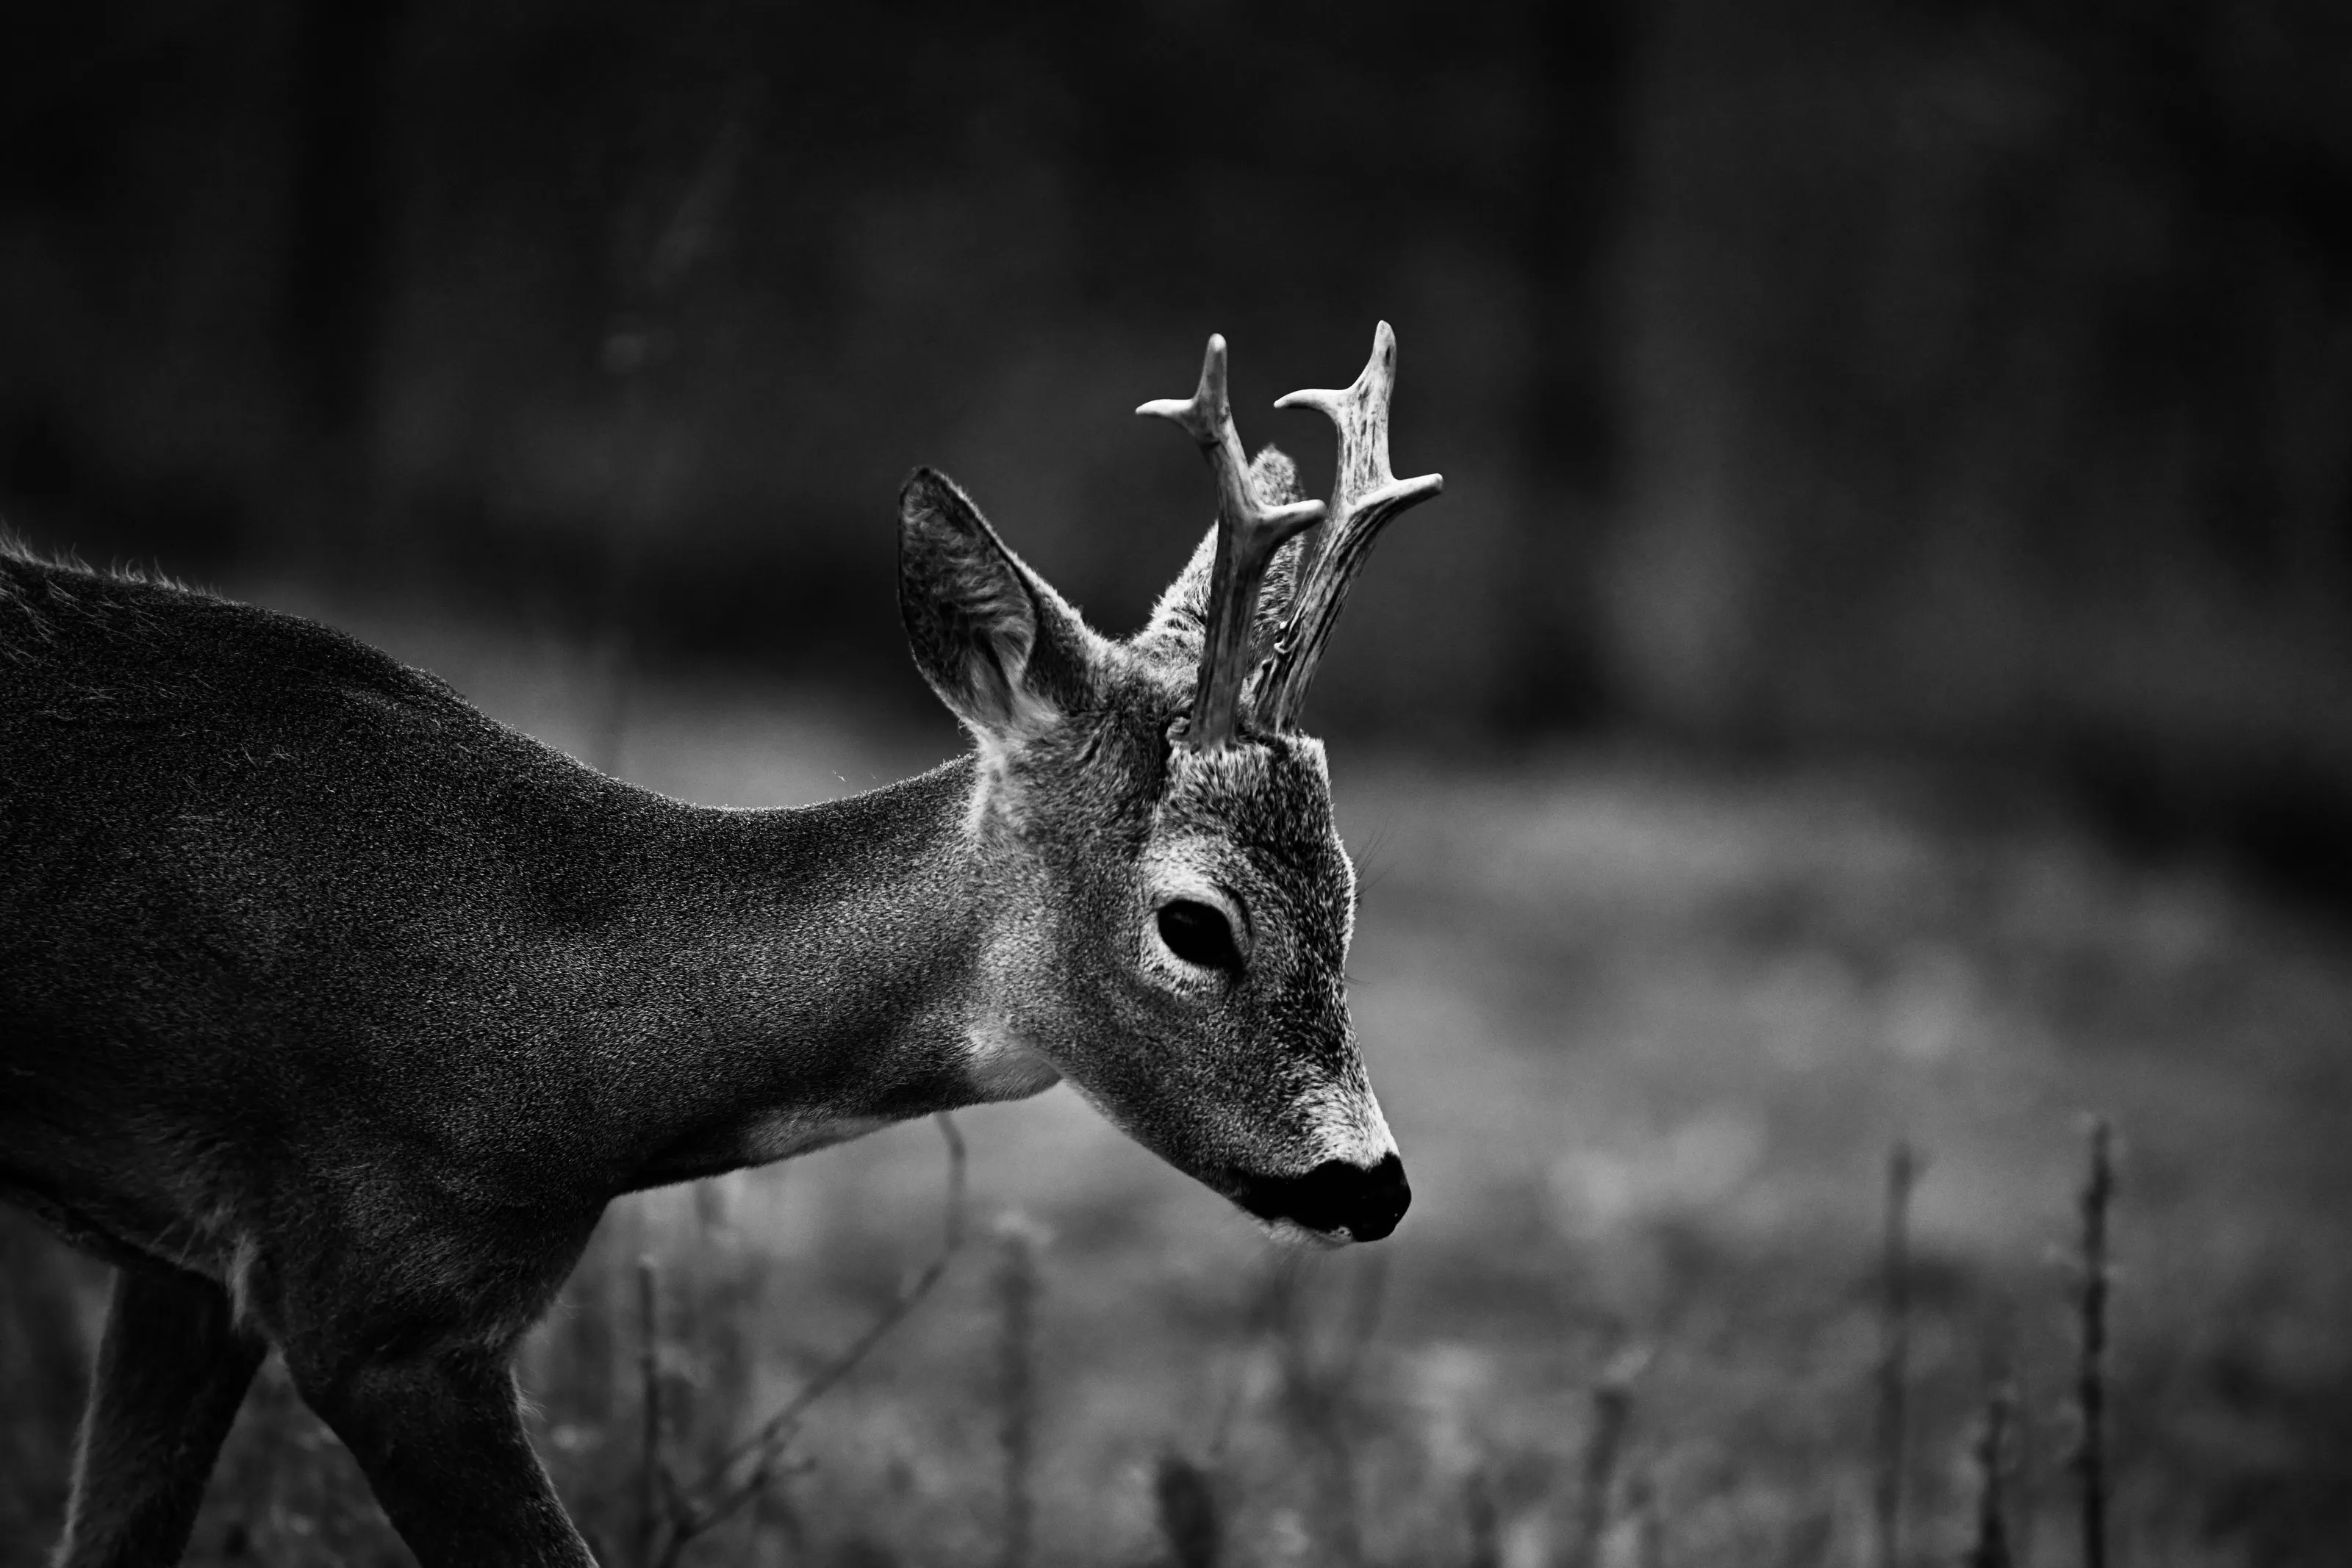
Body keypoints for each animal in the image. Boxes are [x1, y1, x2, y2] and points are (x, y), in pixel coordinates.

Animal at [0, 323, 1442, 1567]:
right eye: (1196, 921)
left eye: (1347, 894)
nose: (1371, 1184)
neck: (564, 1023)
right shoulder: (375, 1305)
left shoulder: (194, 1277)